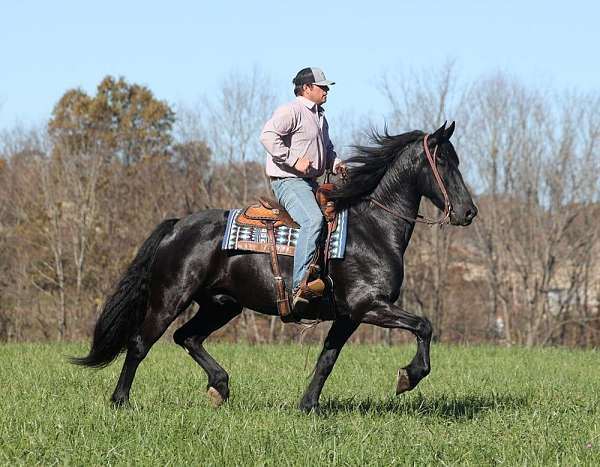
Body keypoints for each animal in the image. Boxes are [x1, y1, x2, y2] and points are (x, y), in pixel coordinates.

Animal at [72, 121, 478, 414]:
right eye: (444, 162)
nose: (469, 211)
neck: (372, 229)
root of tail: (176, 226)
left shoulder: (349, 316)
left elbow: (327, 359)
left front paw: (308, 406)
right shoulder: (370, 306)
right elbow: (424, 326)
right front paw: (408, 377)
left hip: (221, 305)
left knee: (187, 337)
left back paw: (220, 387)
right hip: (169, 299)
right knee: (141, 343)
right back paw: (121, 401)